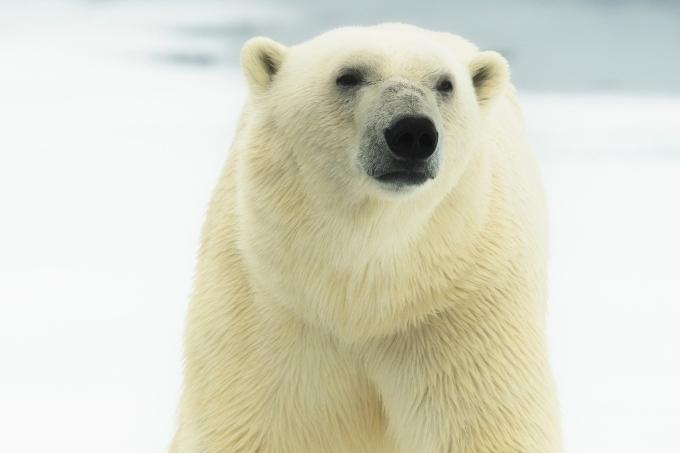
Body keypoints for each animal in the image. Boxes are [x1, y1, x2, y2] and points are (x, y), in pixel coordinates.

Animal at [171, 23, 564, 452]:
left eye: (446, 83)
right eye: (348, 76)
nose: (413, 132)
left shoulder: (461, 305)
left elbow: (482, 428)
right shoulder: (265, 303)